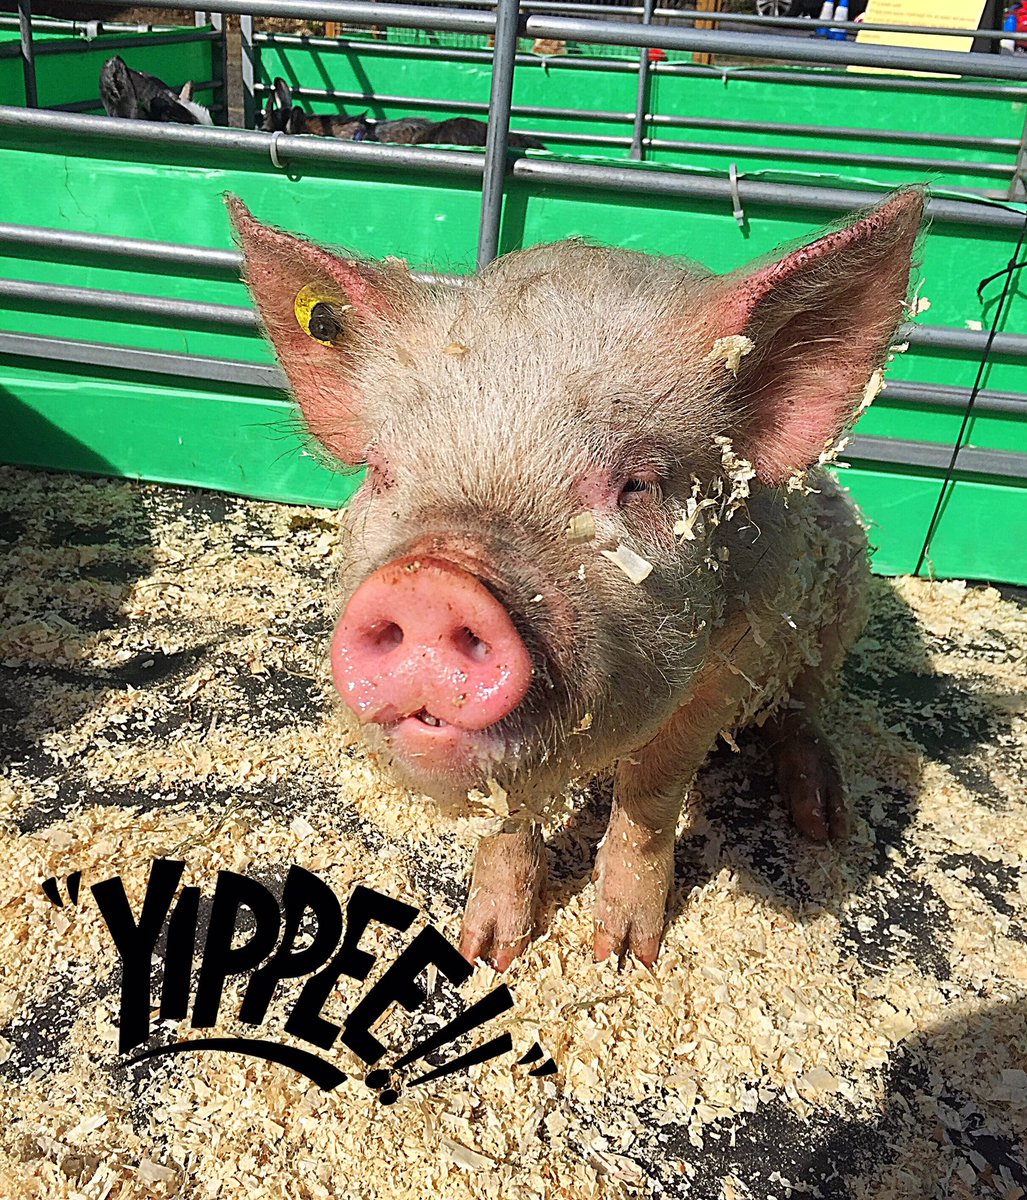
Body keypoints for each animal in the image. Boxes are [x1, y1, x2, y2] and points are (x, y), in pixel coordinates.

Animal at [227, 189, 924, 970]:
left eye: (638, 485)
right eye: (381, 473)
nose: (430, 578)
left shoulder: (728, 665)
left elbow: (651, 794)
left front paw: (622, 956)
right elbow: (507, 822)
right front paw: (487, 954)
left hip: (842, 603)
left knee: (801, 710)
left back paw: (825, 824)